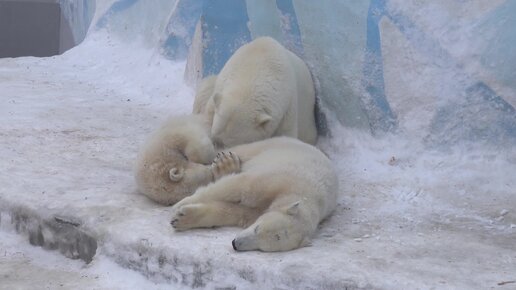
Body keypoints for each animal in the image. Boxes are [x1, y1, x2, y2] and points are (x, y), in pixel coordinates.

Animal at [170, 137, 338, 250]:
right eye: (257, 228)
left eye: (262, 247)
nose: (235, 244)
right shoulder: (278, 180)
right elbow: (238, 186)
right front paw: (180, 205)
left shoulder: (257, 211)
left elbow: (232, 212)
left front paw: (182, 218)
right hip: (267, 147)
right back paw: (225, 161)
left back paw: (226, 166)